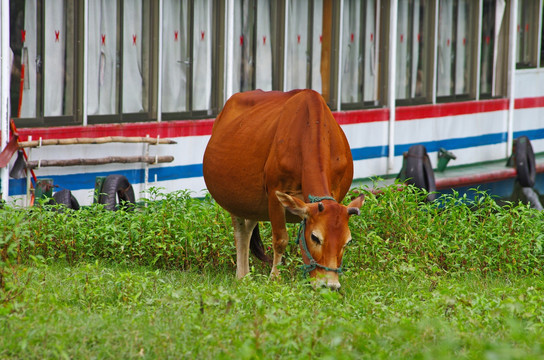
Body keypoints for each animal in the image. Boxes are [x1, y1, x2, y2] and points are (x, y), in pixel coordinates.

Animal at [202, 89, 364, 290]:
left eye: (347, 241)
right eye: (315, 237)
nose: (330, 285)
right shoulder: (274, 194)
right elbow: (280, 239)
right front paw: (275, 278)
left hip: (254, 204)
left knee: (248, 228)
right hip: (235, 199)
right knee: (240, 232)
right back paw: (242, 276)